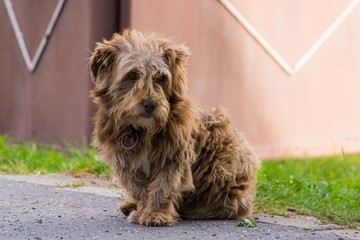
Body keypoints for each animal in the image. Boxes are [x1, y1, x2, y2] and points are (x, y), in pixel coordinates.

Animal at [88, 30, 260, 227]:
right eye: (132, 76)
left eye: (160, 78)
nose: (150, 104)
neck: (142, 130)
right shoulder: (123, 160)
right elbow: (139, 188)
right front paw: (143, 209)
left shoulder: (174, 156)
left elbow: (163, 186)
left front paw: (156, 214)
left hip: (222, 161)